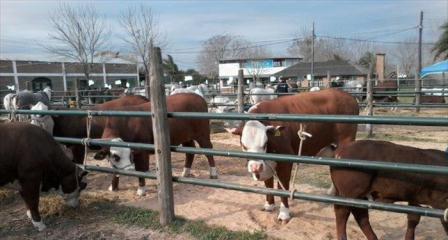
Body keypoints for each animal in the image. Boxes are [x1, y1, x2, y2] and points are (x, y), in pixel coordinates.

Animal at [229, 89, 358, 222]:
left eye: (264, 143)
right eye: (244, 145)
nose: (255, 167)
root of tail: (345, 94)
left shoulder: (286, 160)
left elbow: (283, 188)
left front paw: (284, 213)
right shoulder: (266, 164)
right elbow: (268, 184)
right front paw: (269, 205)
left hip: (345, 143)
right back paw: (332, 193)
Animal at [316, 141, 446, 240]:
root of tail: (341, 149)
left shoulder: (414, 198)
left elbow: (413, 218)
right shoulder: (441, 203)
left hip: (359, 196)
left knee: (360, 215)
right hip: (350, 194)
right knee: (343, 213)